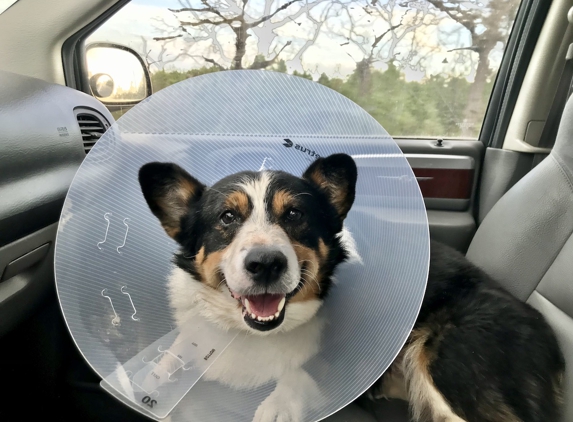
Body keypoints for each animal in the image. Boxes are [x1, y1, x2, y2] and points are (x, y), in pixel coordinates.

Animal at [137, 153, 564, 420]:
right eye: (227, 217)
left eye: (295, 214)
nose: (266, 264)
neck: (248, 334)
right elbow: (172, 355)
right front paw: (154, 374)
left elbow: (299, 373)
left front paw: (278, 407)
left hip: (450, 363)